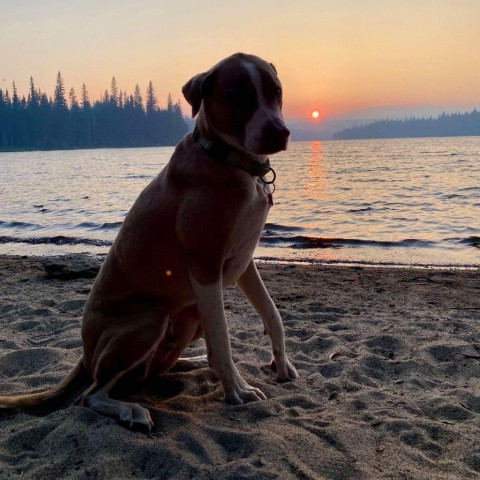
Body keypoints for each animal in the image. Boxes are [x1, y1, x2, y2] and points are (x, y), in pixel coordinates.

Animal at [0, 53, 296, 432]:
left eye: (276, 91)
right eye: (237, 96)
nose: (279, 132)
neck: (229, 160)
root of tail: (85, 354)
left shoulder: (244, 263)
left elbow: (272, 315)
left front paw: (282, 365)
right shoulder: (206, 266)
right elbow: (223, 341)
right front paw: (238, 390)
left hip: (187, 317)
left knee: (151, 372)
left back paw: (191, 362)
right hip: (150, 319)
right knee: (90, 395)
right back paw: (130, 409)